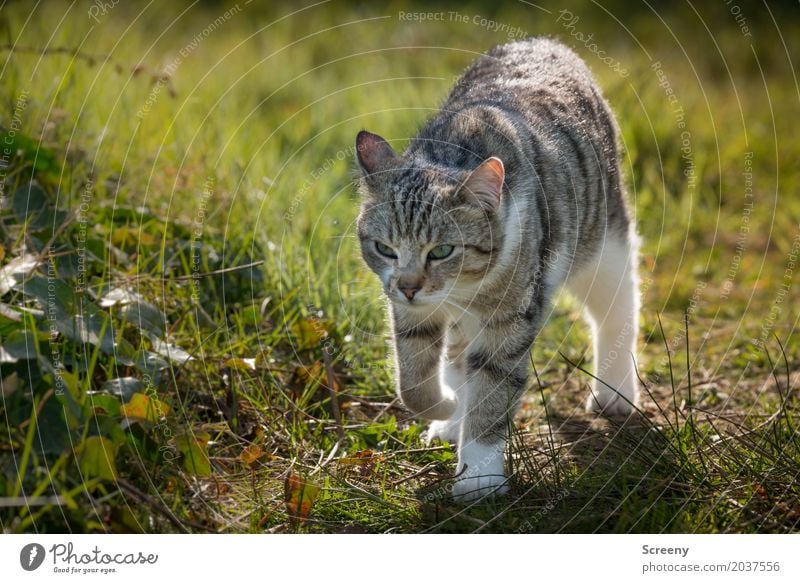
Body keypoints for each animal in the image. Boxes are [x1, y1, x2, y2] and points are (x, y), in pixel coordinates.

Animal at [354, 37, 640, 502]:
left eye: (442, 250)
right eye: (384, 248)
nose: (409, 286)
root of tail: (544, 41)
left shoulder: (511, 315)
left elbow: (491, 392)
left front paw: (479, 478)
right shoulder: (411, 311)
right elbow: (413, 380)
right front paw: (448, 408)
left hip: (603, 238)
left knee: (617, 309)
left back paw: (615, 391)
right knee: (456, 351)